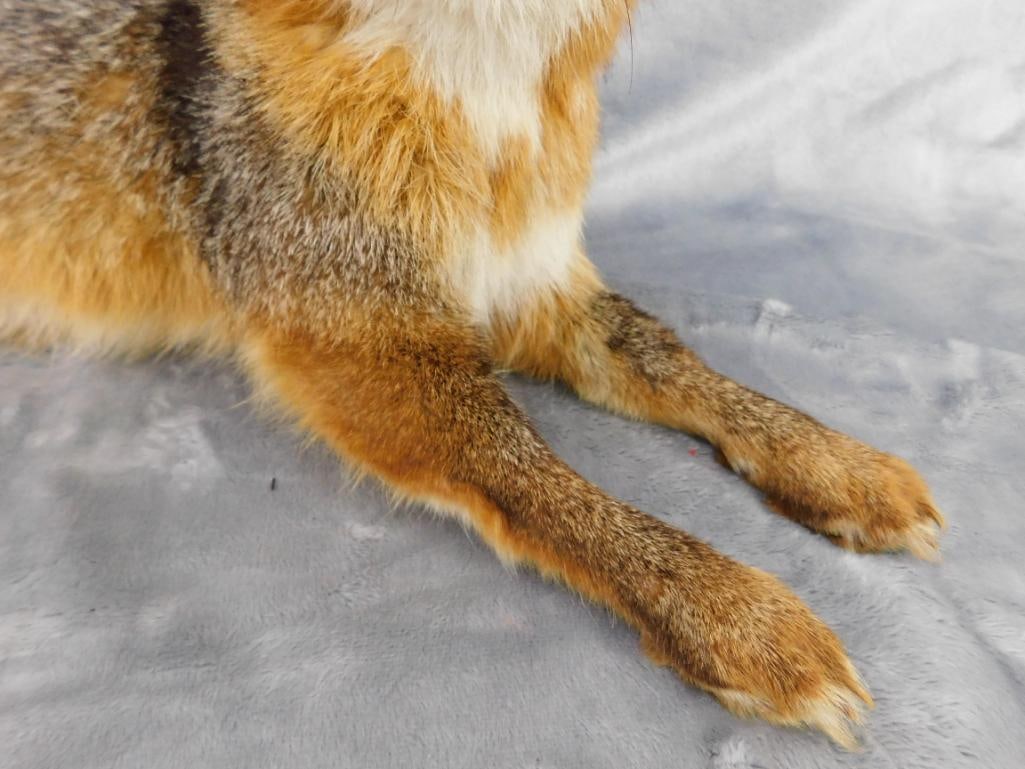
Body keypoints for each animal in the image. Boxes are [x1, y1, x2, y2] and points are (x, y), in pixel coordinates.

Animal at [0, 0, 946, 749]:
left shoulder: (529, 275)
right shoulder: (359, 330)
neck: (477, 91)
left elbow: (663, 352)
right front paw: (731, 611)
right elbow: (524, 465)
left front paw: (831, 461)